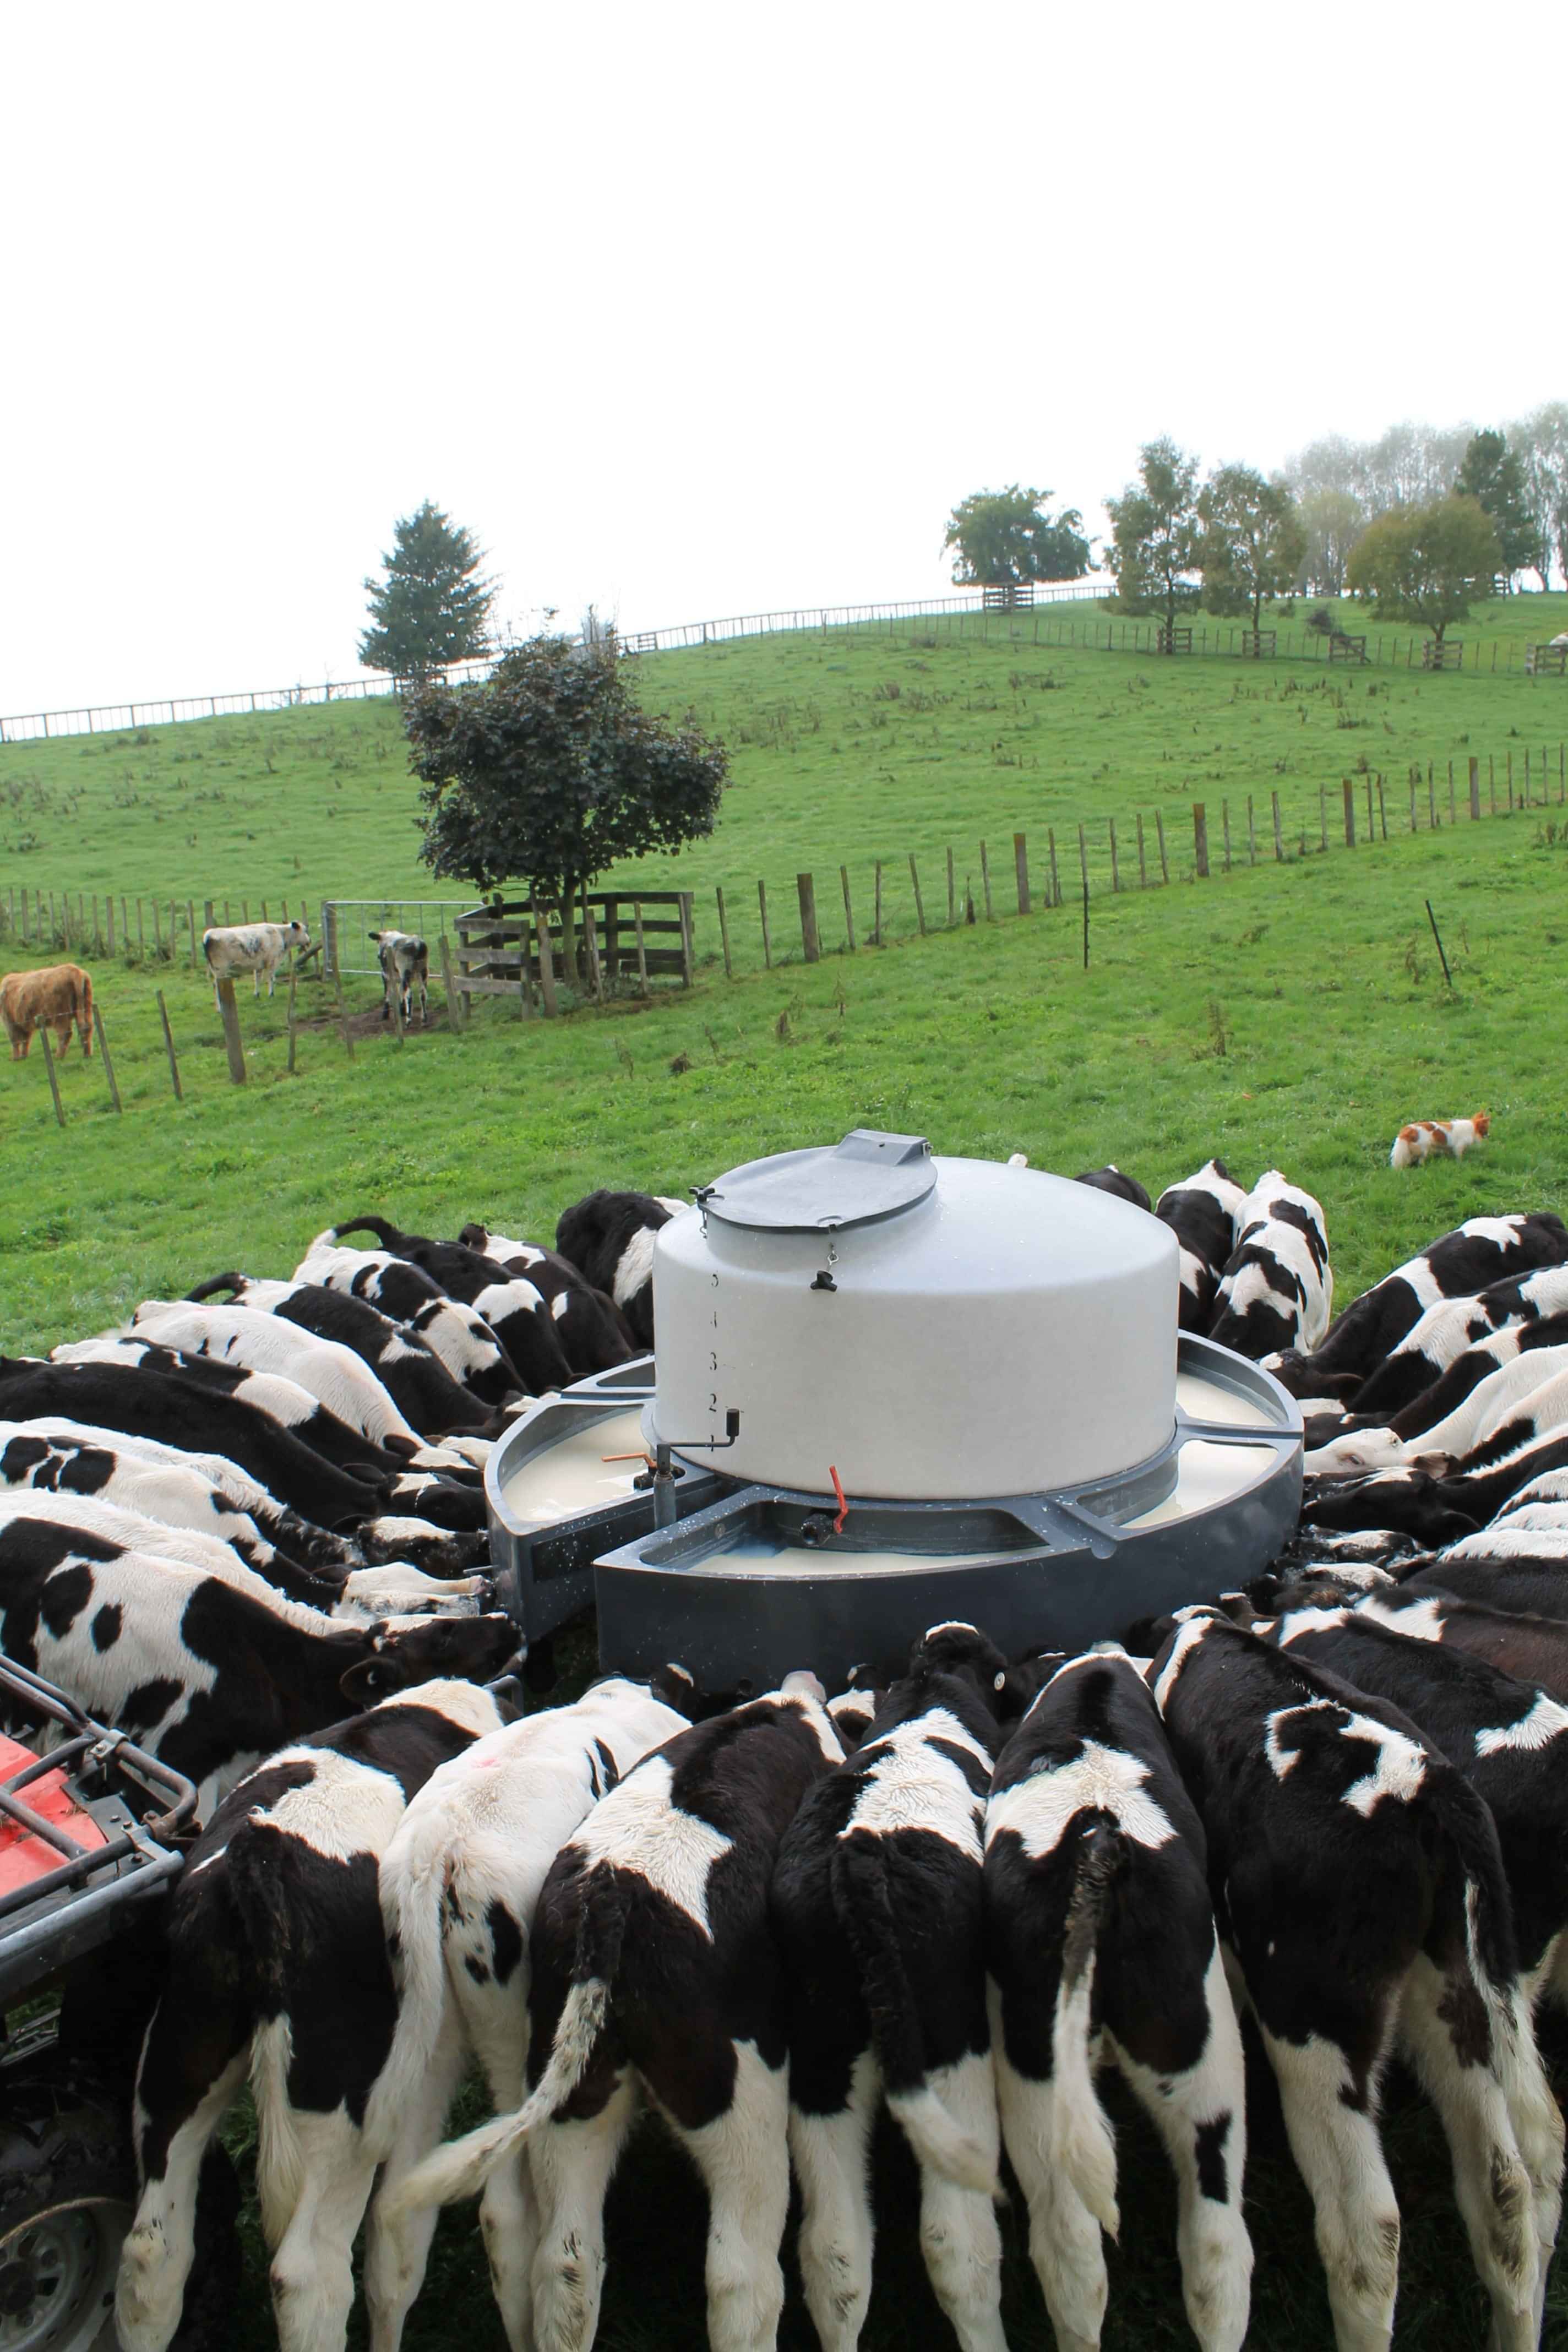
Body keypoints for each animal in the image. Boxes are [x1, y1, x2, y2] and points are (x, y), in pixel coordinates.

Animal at [0, 961, 93, 1060]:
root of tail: (75, 971)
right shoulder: (24, 1022)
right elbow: (26, 1039)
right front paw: (23, 1055)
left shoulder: (10, 1021)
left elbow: (15, 1040)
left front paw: (16, 1058)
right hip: (86, 1006)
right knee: (87, 1027)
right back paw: (87, 1054)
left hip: (60, 1013)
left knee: (65, 1033)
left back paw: (58, 1056)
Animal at [201, 919, 309, 1001]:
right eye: (305, 931)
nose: (310, 940)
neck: (281, 934)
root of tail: (208, 935)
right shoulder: (272, 962)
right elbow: (271, 978)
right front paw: (271, 994)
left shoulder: (259, 964)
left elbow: (257, 979)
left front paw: (257, 994)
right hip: (220, 969)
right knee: (216, 987)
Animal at [370, 929, 430, 1028]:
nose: (378, 955)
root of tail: (417, 944)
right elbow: (401, 991)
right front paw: (401, 1011)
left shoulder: (386, 975)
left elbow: (388, 993)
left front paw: (385, 1014)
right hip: (423, 971)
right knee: (423, 993)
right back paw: (424, 1019)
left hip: (405, 972)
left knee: (410, 995)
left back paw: (408, 1022)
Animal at [770, 1624, 1024, 2352]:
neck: (934, 1683)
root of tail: (860, 1854)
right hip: (950, 2045)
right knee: (956, 2240)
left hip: (825, 2050)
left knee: (834, 2248)